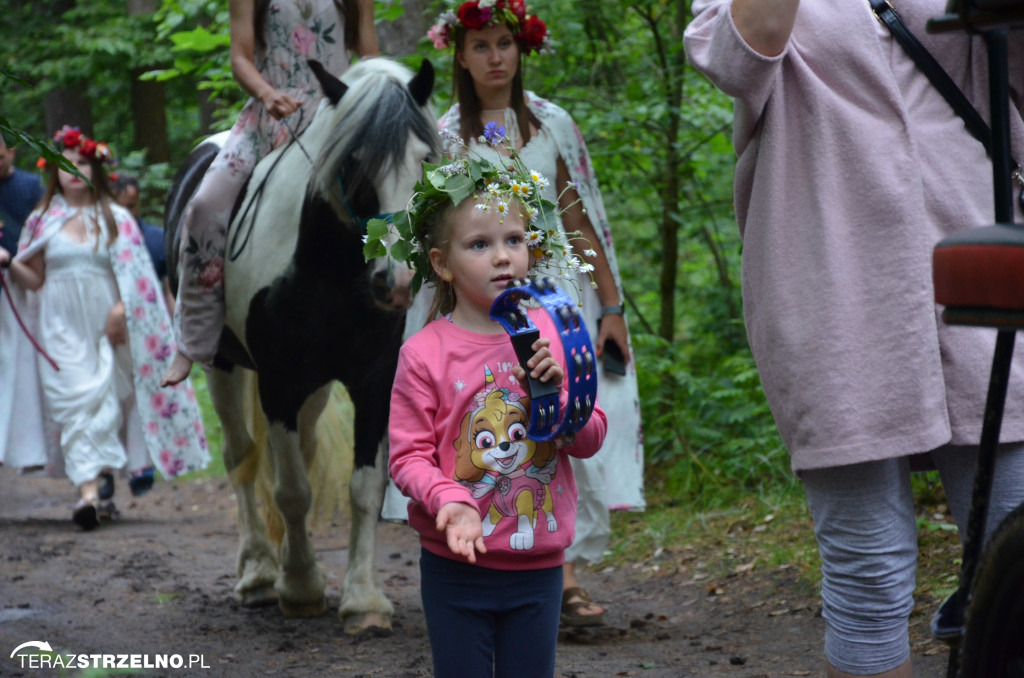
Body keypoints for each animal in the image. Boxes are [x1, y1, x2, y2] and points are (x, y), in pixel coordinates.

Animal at [163, 58, 436, 639]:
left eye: (425, 160)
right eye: (354, 162)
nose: (396, 281)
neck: (328, 270)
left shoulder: (372, 380)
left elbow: (364, 486)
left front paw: (363, 599)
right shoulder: (279, 382)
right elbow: (290, 490)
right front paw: (301, 587)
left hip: (314, 389)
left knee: (299, 453)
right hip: (225, 366)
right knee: (241, 458)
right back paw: (259, 573)